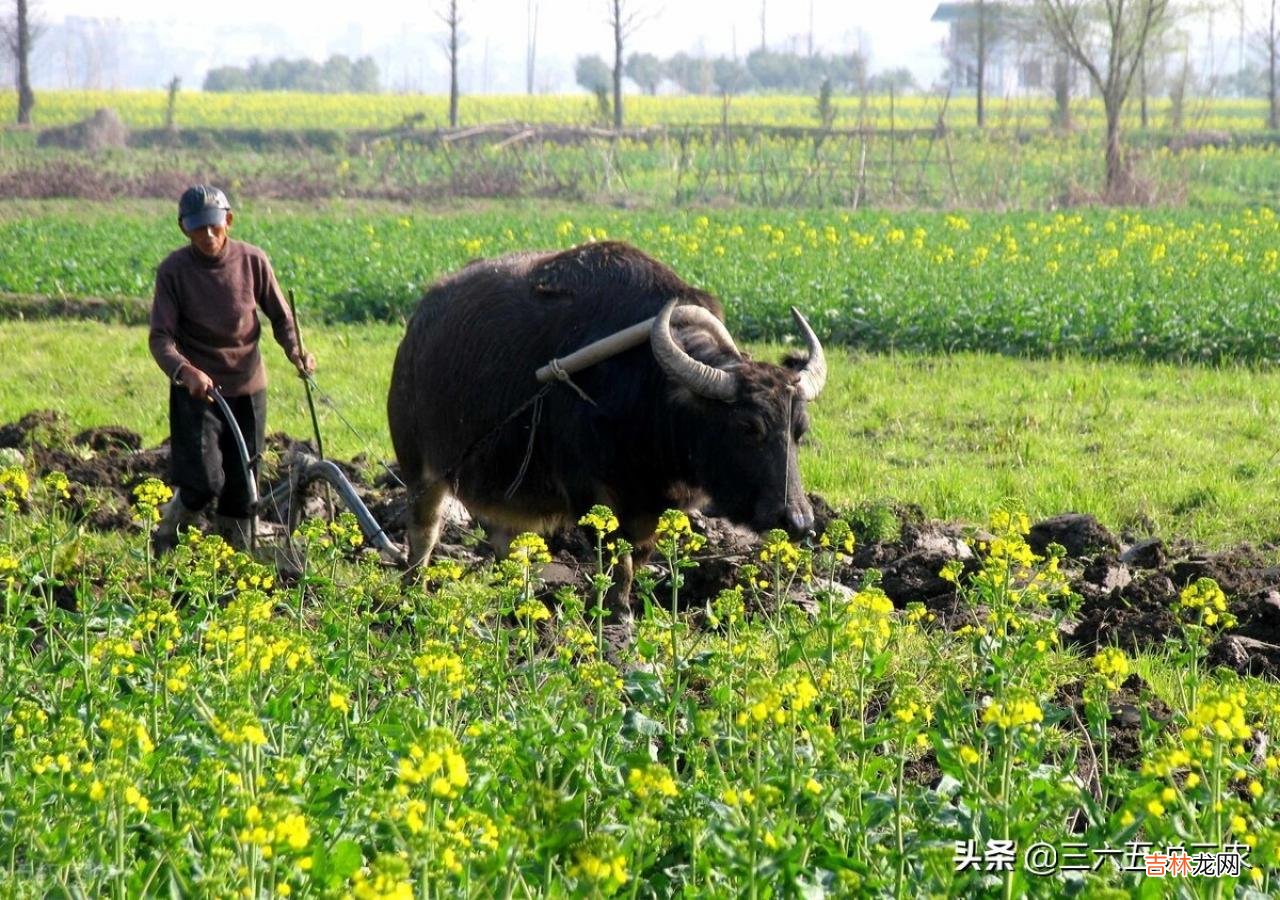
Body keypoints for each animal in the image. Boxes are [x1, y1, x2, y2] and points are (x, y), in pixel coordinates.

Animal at [386, 243, 829, 611]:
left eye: (799, 430)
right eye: (748, 428)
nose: (799, 521)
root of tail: (416, 328)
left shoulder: (652, 503)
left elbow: (640, 554)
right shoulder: (590, 492)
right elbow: (620, 557)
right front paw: (615, 612)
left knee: (508, 544)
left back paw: (522, 602)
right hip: (420, 468)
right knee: (424, 531)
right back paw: (412, 592)